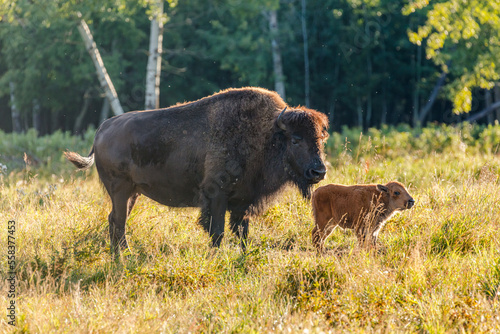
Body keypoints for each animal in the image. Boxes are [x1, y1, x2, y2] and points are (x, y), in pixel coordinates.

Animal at [67, 86, 332, 253]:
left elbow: (242, 234)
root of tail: (102, 130)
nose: (318, 172)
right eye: (296, 139)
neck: (268, 133)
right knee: (118, 223)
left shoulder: (243, 202)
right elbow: (217, 232)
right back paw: (123, 258)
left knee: (115, 222)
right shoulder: (216, 195)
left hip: (133, 193)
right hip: (120, 191)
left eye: (321, 137)